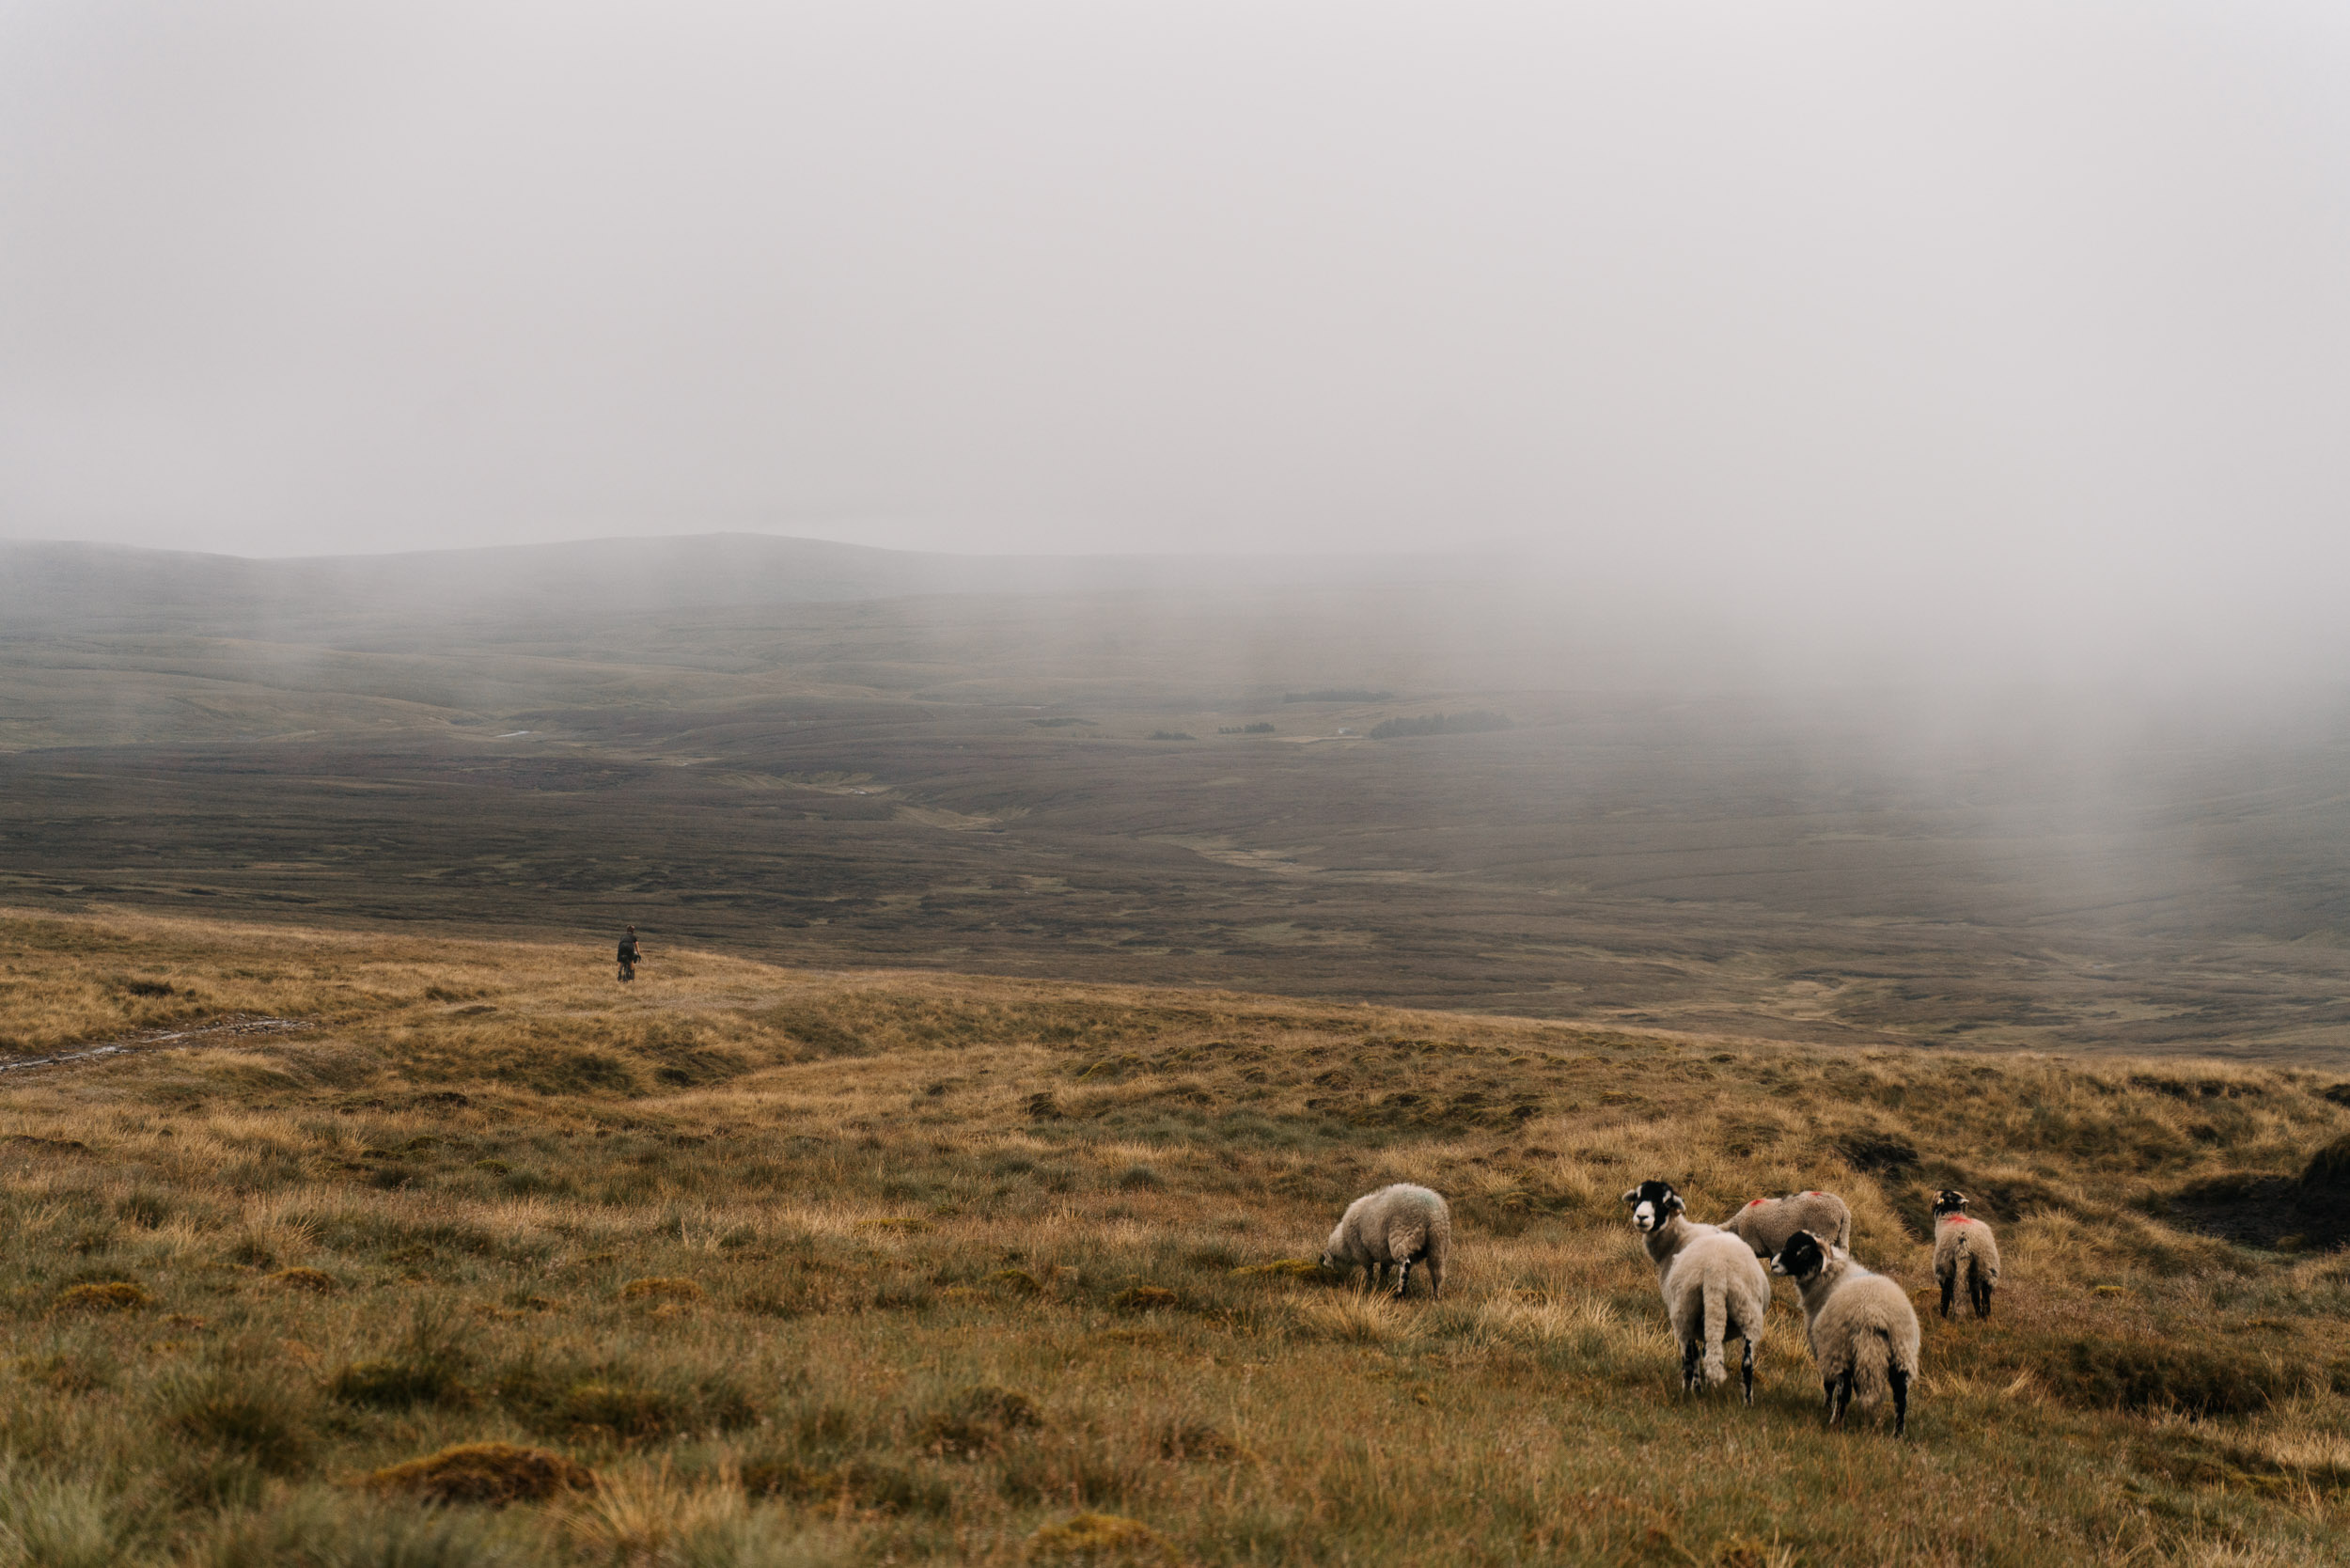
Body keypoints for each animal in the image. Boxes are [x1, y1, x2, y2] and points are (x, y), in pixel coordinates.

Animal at [1320, 1183, 1450, 1299]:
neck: (1344, 1242)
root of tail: (1432, 1213)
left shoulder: (1363, 1253)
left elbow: (1370, 1271)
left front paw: (1369, 1285)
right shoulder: (1384, 1255)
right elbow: (1383, 1271)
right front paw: (1382, 1285)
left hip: (1402, 1236)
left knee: (1406, 1265)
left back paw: (1400, 1294)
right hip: (1437, 1244)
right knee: (1437, 1272)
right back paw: (1435, 1296)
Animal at [1621, 1179, 1771, 1404]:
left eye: (1665, 1202)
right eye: (1638, 1197)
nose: (1641, 1218)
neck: (1677, 1239)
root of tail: (1717, 1270)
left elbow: (1695, 1356)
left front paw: (1697, 1388)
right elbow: (1707, 1351)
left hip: (1685, 1310)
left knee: (1688, 1359)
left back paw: (1687, 1393)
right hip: (1748, 1313)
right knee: (1746, 1364)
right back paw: (1747, 1402)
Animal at [1770, 1229, 1921, 1437]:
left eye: (1803, 1252)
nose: (1773, 1264)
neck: (1828, 1280)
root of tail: (1874, 1315)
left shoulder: (1824, 1346)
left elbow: (1828, 1384)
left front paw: (1825, 1408)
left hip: (1840, 1348)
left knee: (1844, 1390)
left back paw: (1835, 1423)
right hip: (1901, 1354)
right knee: (1900, 1397)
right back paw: (1897, 1435)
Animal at [1930, 1190, 2002, 1320]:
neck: (1952, 1216)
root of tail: (1965, 1240)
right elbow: (1975, 1296)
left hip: (1946, 1266)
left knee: (1947, 1293)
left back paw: (1944, 1317)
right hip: (1987, 1266)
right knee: (1984, 1297)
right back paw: (1983, 1318)